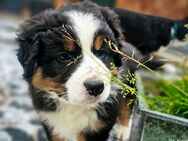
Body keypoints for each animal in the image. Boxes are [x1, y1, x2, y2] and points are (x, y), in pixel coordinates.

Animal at [16, 0, 187, 140]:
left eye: (101, 53)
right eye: (64, 57)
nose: (96, 87)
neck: (74, 106)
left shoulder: (98, 126)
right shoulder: (52, 121)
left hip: (128, 84)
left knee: (127, 106)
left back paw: (123, 131)